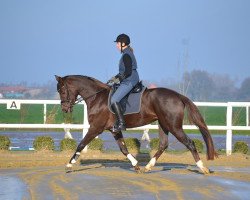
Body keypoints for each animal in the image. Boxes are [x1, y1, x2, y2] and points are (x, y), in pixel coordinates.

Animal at [54, 74, 217, 173]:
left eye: (62, 90)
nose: (64, 109)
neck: (97, 97)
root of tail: (178, 96)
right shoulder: (114, 130)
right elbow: (123, 149)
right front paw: (136, 165)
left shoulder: (96, 128)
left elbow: (81, 144)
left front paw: (70, 164)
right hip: (164, 124)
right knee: (163, 144)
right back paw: (148, 167)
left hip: (174, 126)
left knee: (190, 143)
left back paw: (202, 168)